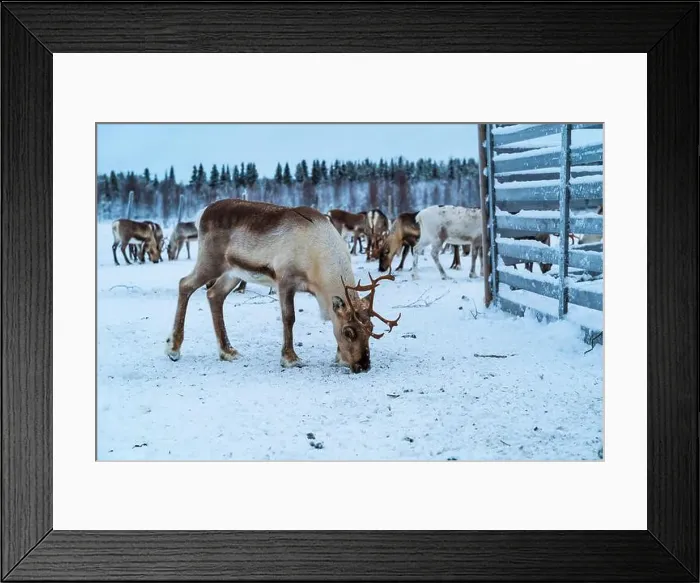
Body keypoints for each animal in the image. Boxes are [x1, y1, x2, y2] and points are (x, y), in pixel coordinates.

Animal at [165, 199, 401, 373]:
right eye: (348, 332)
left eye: (371, 329)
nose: (363, 365)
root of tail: (202, 212)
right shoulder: (285, 280)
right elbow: (289, 318)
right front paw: (290, 358)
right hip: (210, 262)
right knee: (184, 284)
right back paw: (173, 349)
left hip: (233, 273)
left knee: (215, 295)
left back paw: (227, 351)